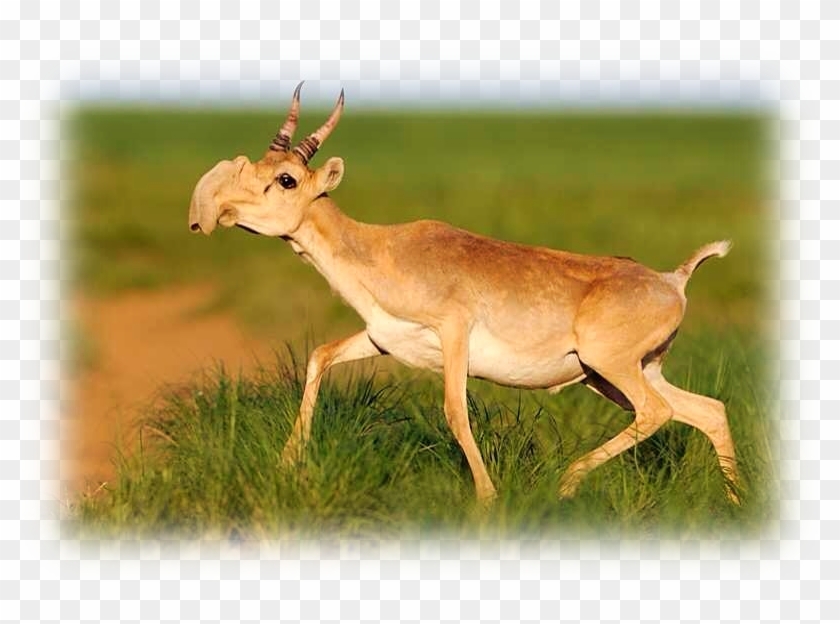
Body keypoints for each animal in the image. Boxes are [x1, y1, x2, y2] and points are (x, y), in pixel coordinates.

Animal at [188, 83, 740, 505]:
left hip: (610, 367)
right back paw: (733, 503)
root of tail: (672, 280)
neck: (383, 249)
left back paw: (566, 482)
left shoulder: (454, 334)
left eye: (286, 179)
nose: (217, 210)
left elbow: (455, 411)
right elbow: (319, 355)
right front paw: (287, 464)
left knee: (659, 412)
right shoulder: (382, 339)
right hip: (617, 375)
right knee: (707, 410)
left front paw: (487, 499)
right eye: (257, 165)